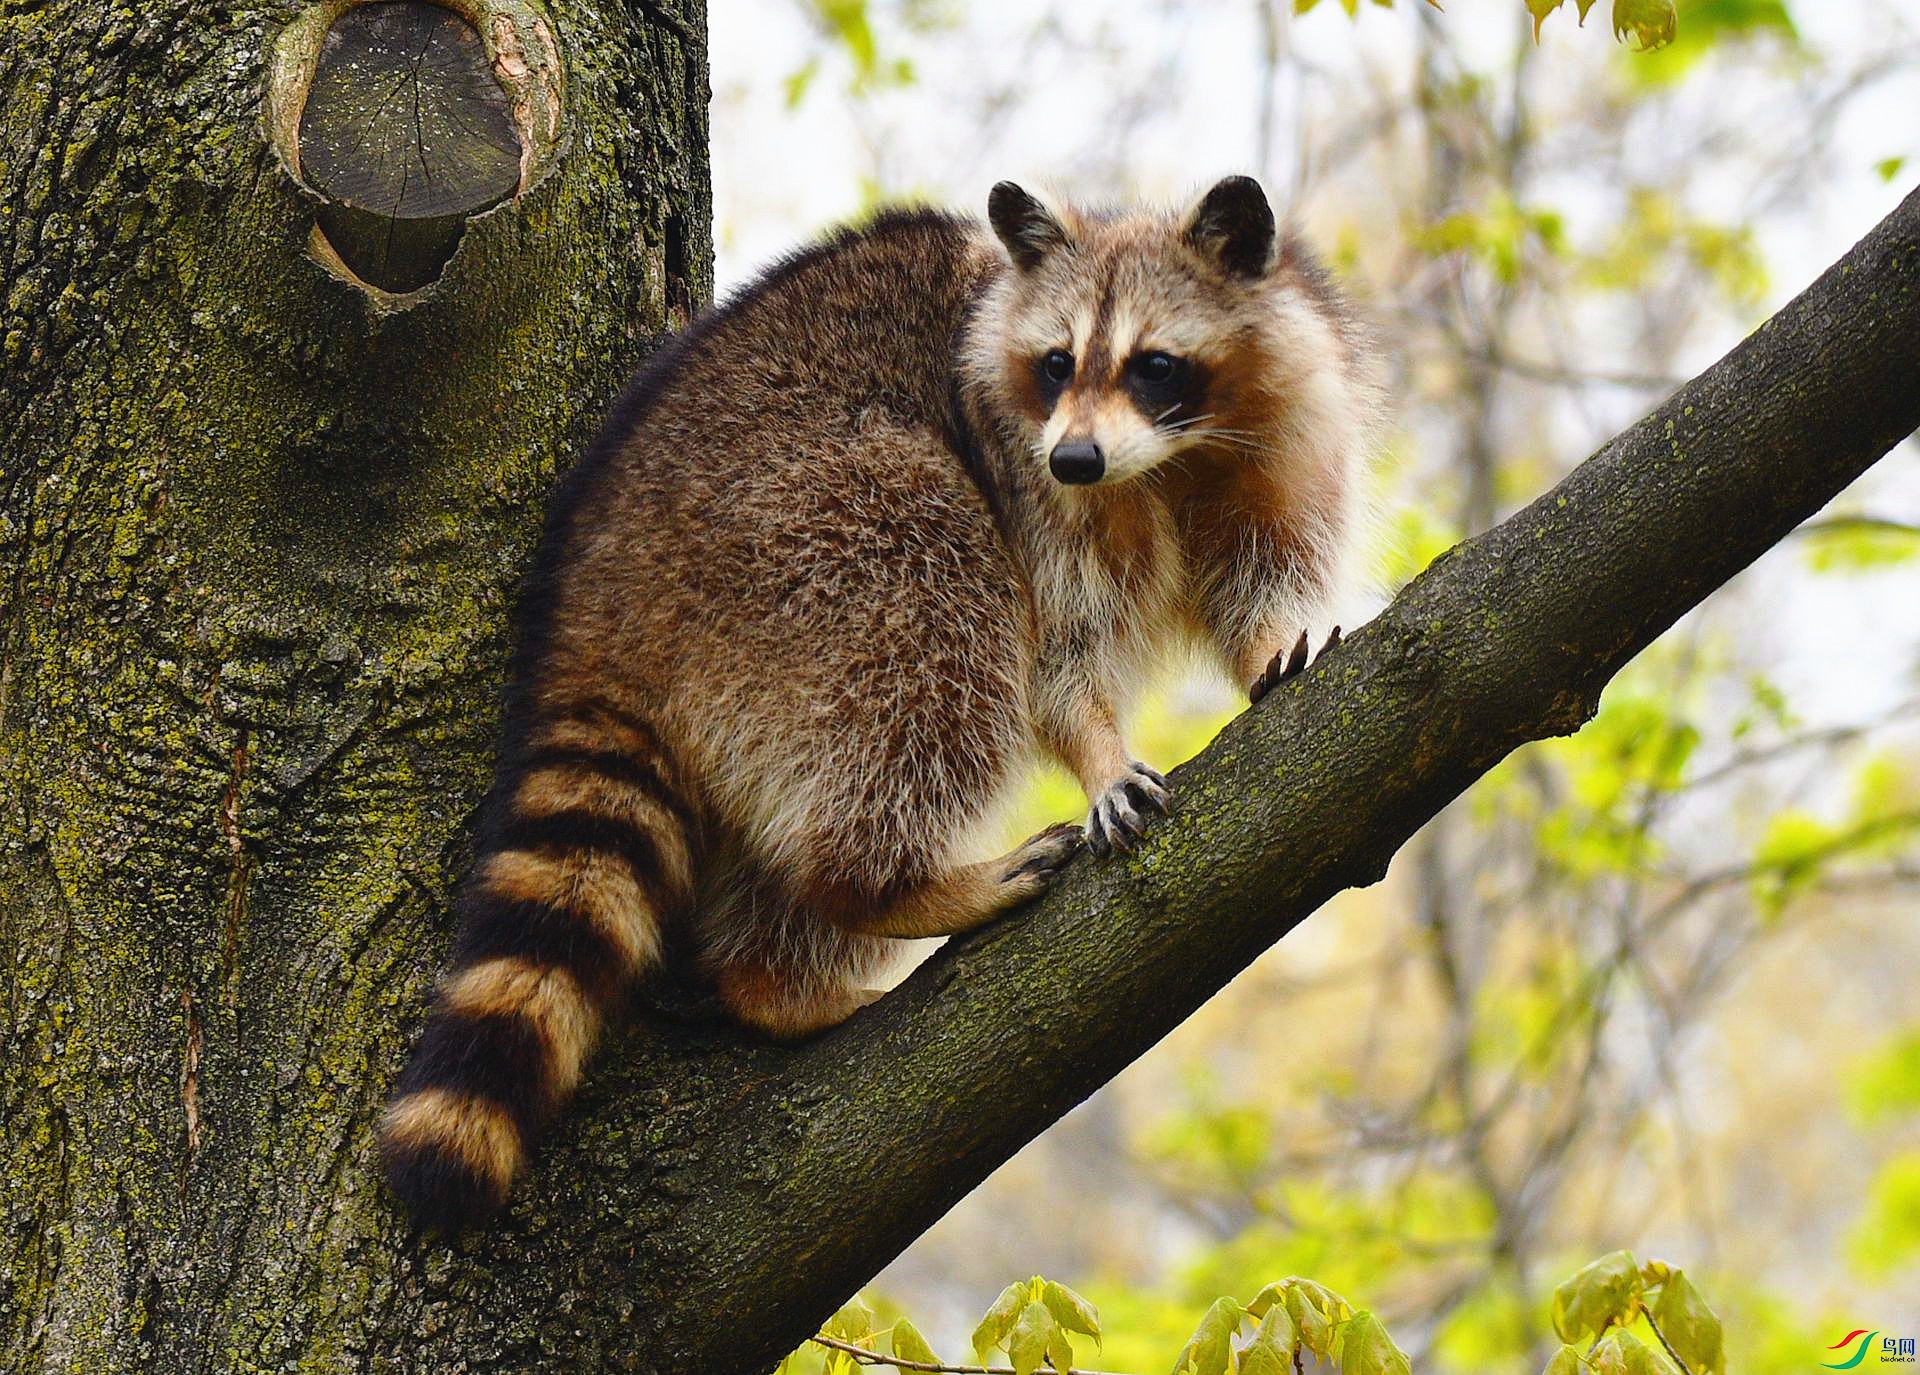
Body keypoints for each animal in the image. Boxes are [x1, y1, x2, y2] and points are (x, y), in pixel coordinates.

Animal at [382, 174, 1382, 1221]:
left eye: (1154, 365)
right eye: (1056, 363)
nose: (1074, 458)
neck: (1171, 457)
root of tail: (589, 600)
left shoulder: (1281, 433)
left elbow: (1258, 576)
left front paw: (1272, 647)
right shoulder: (1021, 476)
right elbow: (1056, 663)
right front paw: (1101, 753)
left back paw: (768, 977)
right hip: (796, 533)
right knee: (933, 598)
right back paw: (882, 886)